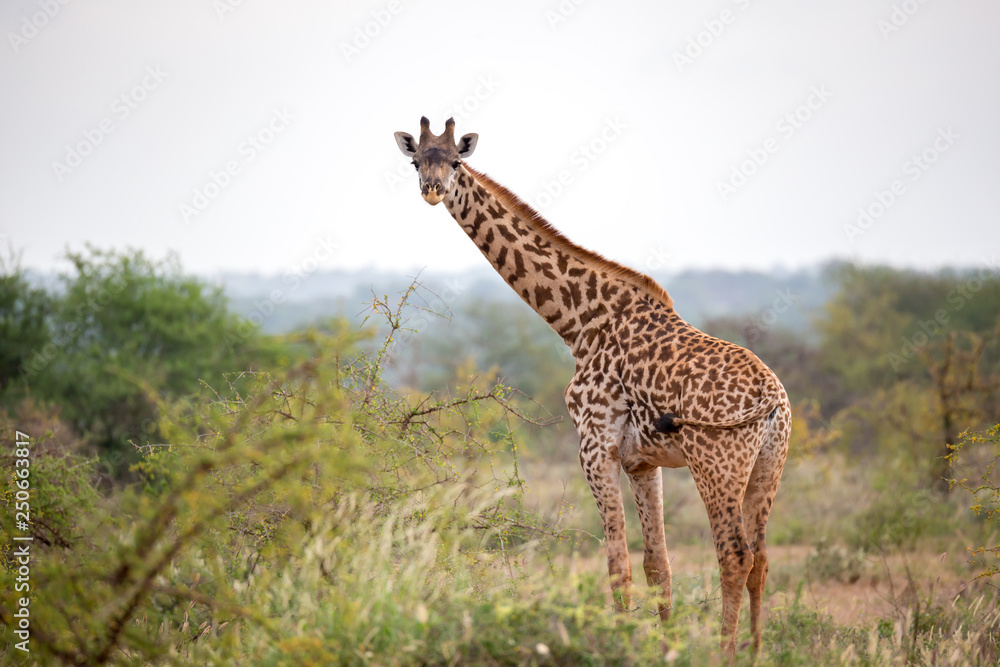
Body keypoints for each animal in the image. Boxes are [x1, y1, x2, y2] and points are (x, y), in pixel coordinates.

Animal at [394, 117, 792, 657]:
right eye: (417, 161)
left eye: (456, 161)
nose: (432, 190)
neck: (578, 323)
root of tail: (772, 402)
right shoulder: (643, 460)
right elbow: (657, 567)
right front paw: (663, 649)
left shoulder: (593, 444)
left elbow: (616, 567)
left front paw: (618, 645)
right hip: (768, 465)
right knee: (761, 560)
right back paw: (754, 651)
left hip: (717, 464)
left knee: (734, 555)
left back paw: (726, 655)